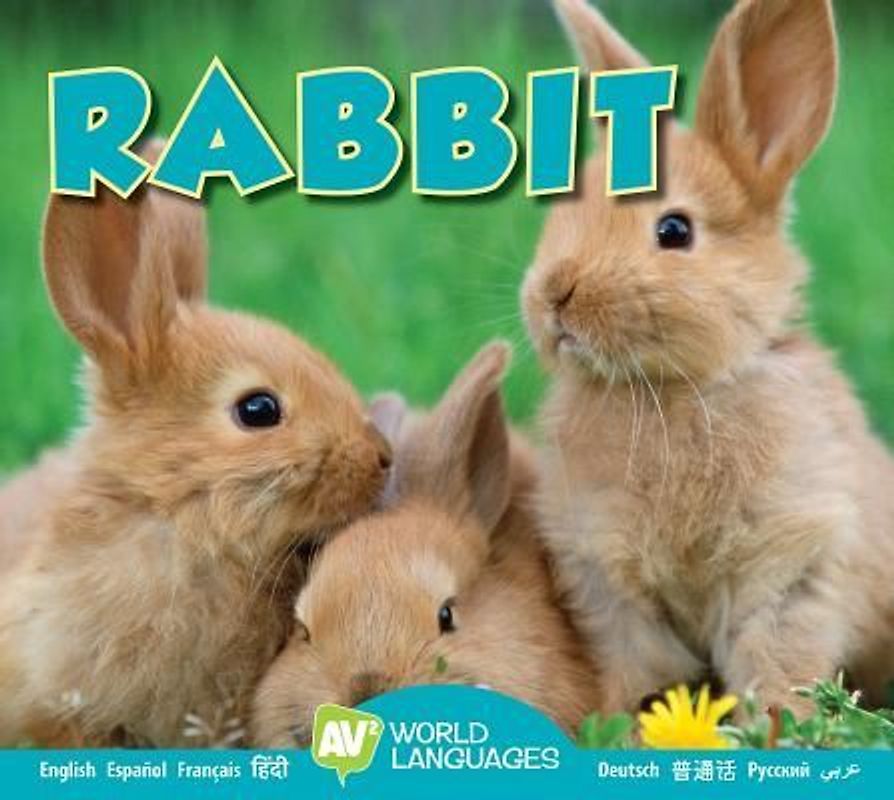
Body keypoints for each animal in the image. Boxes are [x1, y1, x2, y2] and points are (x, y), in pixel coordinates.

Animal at [521, 0, 894, 716]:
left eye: (674, 230)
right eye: (563, 210)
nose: (554, 294)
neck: (670, 389)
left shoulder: (790, 564)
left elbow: (775, 661)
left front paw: (777, 724)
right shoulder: (608, 585)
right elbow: (637, 668)